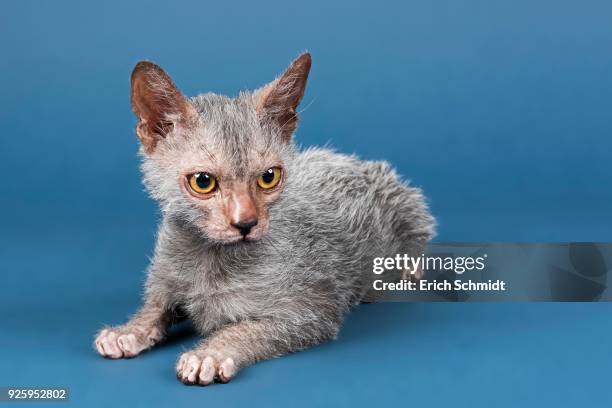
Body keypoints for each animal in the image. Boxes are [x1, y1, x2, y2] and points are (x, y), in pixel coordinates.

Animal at [94, 52, 436, 384]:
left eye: (269, 177)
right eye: (203, 182)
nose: (246, 223)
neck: (210, 258)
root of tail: (355, 161)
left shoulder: (311, 310)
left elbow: (246, 328)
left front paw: (210, 353)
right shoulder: (167, 277)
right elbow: (155, 306)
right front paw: (129, 330)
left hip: (402, 201)